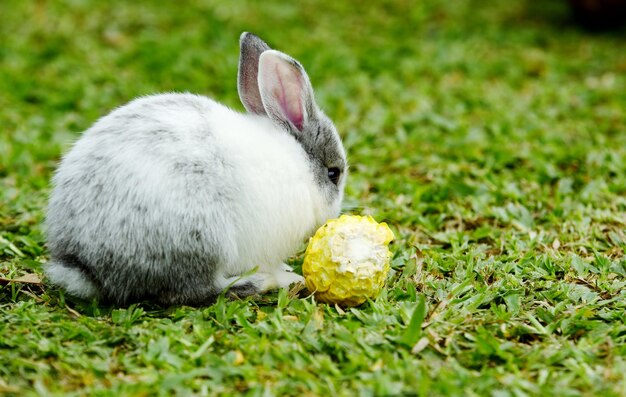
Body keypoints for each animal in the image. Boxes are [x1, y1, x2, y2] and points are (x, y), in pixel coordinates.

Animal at [44, 33, 346, 306]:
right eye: (333, 173)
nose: (331, 218)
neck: (299, 165)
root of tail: (82, 264)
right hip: (206, 240)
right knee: (194, 291)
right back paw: (270, 281)